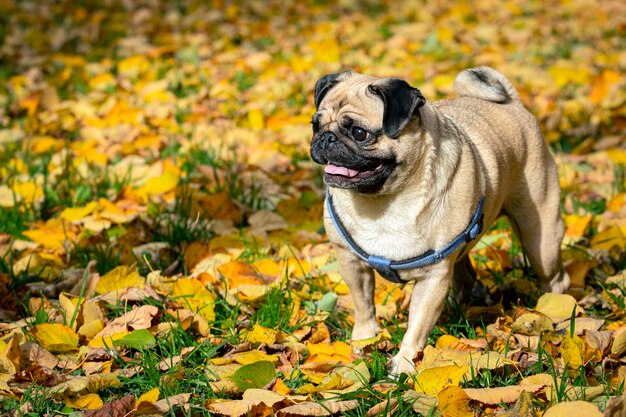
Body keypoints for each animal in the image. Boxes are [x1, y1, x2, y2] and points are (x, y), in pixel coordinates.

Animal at [308, 66, 572, 376]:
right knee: (464, 268)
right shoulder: (351, 262)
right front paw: (364, 340)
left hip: (540, 238)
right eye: (315, 125)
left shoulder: (432, 279)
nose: (326, 139)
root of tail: (512, 103)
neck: (383, 203)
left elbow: (417, 326)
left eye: (359, 133)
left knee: (554, 276)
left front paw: (404, 364)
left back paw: (555, 312)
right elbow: (363, 306)